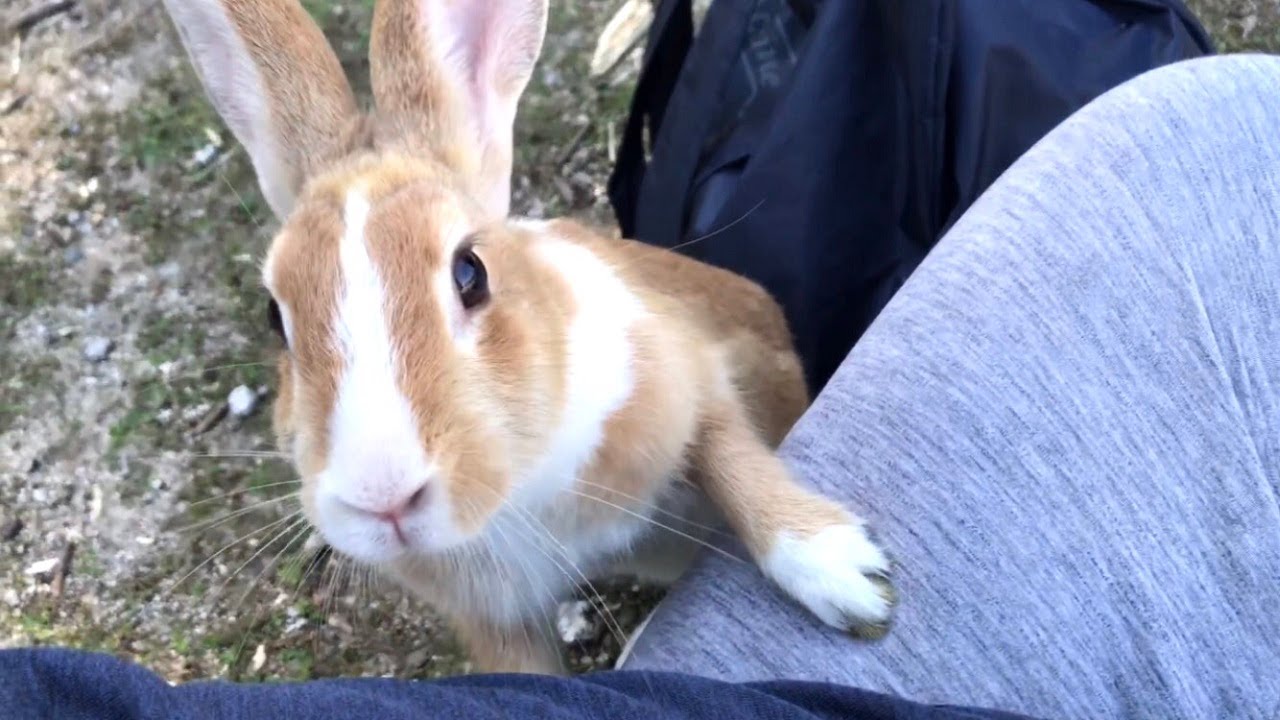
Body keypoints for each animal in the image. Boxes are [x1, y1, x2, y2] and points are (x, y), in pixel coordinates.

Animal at [159, 0, 897, 674]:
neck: (517, 482)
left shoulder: (688, 375)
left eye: (470, 272)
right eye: (273, 314)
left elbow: (733, 459)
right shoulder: (495, 618)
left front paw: (851, 579)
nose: (383, 497)